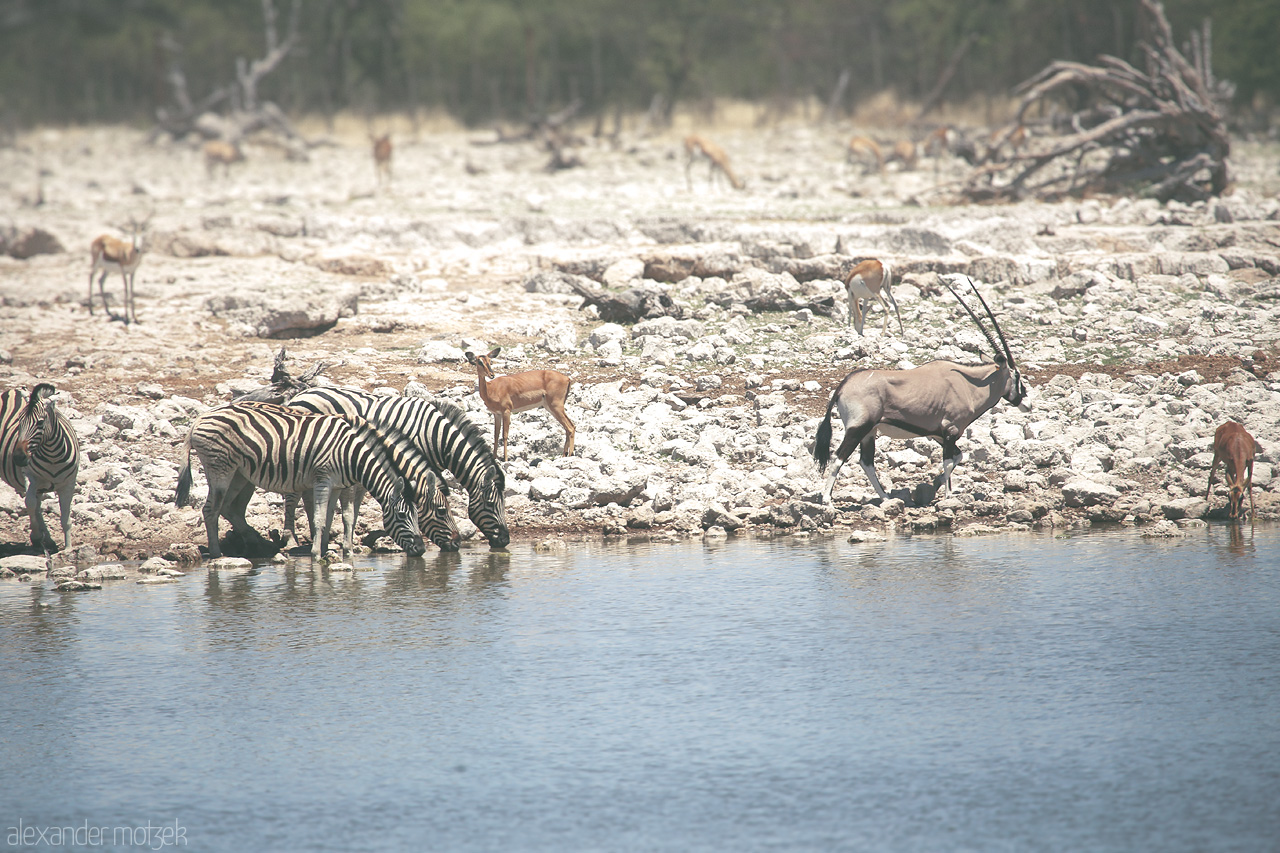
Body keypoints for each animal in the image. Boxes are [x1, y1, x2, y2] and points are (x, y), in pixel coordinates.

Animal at [0, 384, 80, 550]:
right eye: (19, 421)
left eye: (40, 423)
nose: (18, 458)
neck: (53, 456)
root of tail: (13, 390)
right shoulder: (29, 475)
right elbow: (30, 504)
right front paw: (36, 536)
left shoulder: (69, 483)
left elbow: (66, 517)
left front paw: (68, 548)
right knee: (35, 505)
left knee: (38, 506)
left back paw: (48, 540)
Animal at [175, 402, 460, 560]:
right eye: (441, 511)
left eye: (418, 514)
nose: (421, 550)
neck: (354, 454)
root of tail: (199, 419)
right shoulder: (326, 481)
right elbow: (325, 518)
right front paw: (318, 553)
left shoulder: (338, 484)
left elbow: (334, 518)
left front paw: (329, 549)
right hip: (220, 470)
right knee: (210, 509)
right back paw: (217, 553)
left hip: (240, 474)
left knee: (228, 508)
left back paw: (259, 545)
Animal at [290, 384, 509, 545]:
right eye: (491, 504)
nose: (505, 540)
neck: (437, 437)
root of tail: (301, 393)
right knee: (294, 495)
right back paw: (292, 539)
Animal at [819, 275, 1029, 504]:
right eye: (1017, 376)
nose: (1027, 402)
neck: (969, 385)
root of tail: (845, 384)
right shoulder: (950, 431)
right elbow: (948, 461)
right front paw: (948, 496)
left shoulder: (938, 434)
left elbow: (958, 456)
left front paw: (937, 485)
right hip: (858, 428)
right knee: (838, 458)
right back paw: (827, 499)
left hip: (869, 432)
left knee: (866, 462)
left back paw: (886, 498)